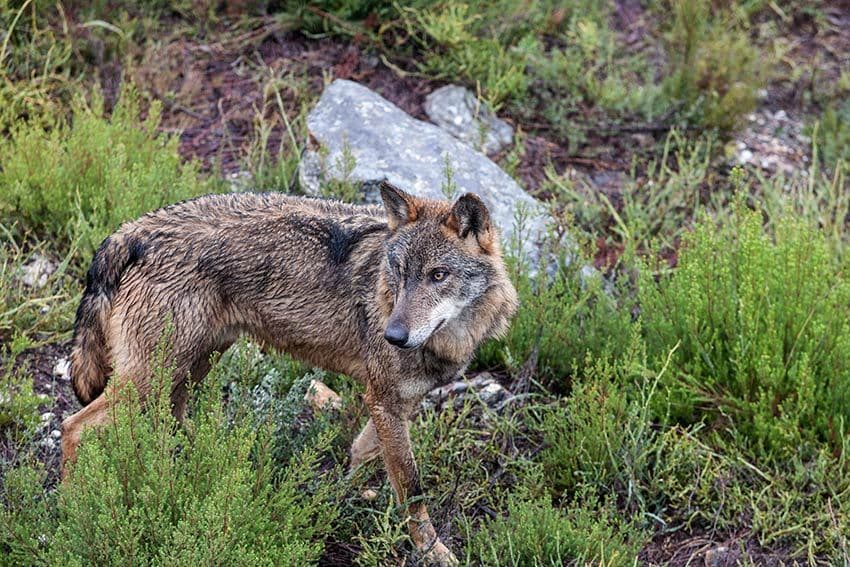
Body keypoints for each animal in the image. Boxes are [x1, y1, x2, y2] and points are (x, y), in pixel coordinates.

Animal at [61, 182, 516, 564]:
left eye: (438, 275)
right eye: (399, 273)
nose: (393, 335)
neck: (452, 338)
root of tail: (134, 229)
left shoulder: (393, 405)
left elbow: (363, 457)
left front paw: (341, 497)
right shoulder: (385, 401)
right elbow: (413, 489)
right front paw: (434, 551)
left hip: (189, 368)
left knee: (169, 422)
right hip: (154, 376)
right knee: (73, 427)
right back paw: (72, 507)